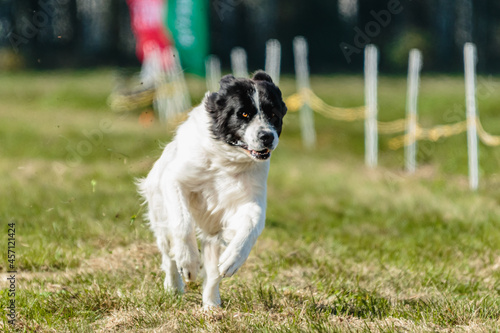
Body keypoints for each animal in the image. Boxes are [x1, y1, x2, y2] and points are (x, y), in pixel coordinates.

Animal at [137, 71, 288, 308]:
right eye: (244, 113)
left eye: (273, 114)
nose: (267, 136)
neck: (226, 160)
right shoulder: (175, 180)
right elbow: (182, 223)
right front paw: (189, 263)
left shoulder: (248, 200)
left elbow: (253, 223)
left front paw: (232, 260)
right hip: (160, 212)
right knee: (167, 253)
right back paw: (174, 286)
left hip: (213, 234)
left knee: (212, 271)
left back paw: (211, 306)